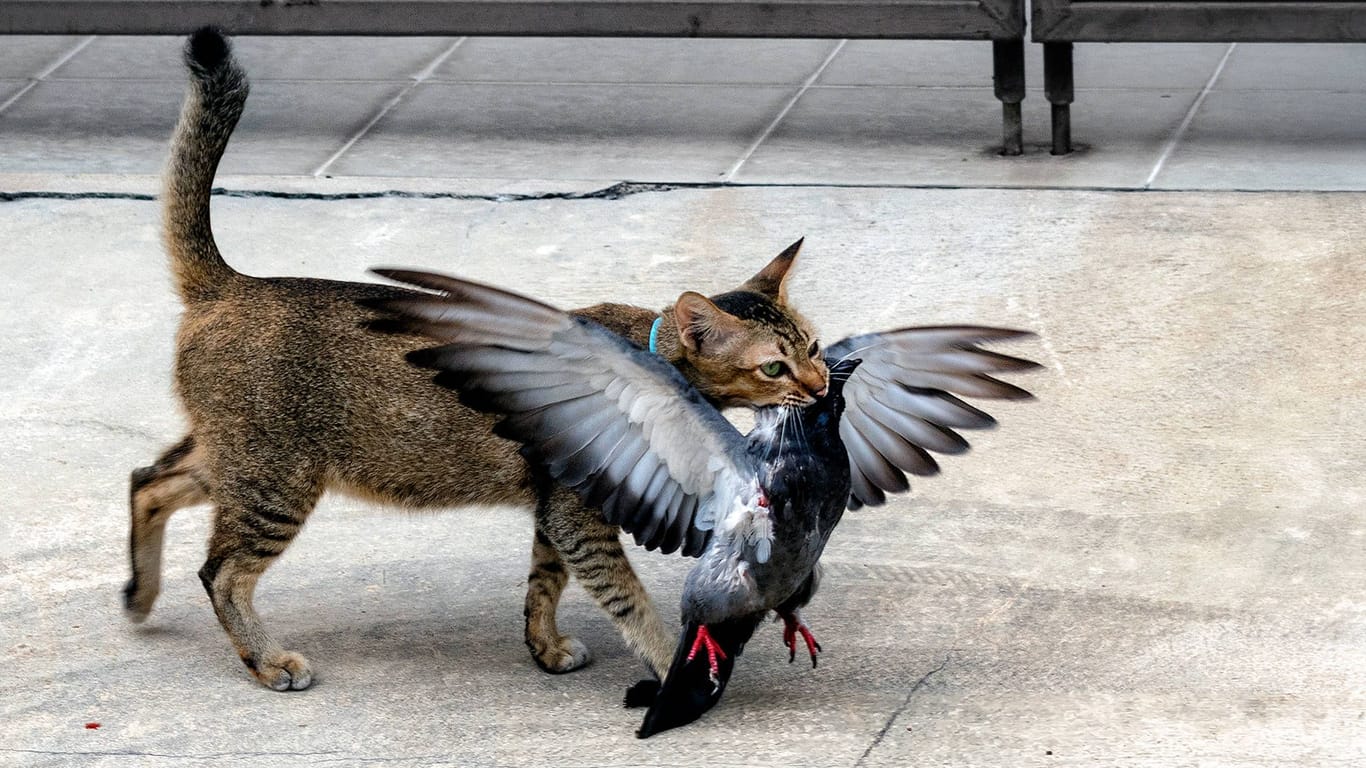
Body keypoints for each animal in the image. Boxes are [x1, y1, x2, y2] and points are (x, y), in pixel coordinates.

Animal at [125, 28, 830, 688]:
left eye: (815, 346)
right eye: (774, 366)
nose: (824, 383)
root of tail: (231, 282)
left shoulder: (556, 512)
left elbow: (544, 583)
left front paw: (544, 646)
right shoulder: (579, 518)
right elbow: (628, 600)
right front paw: (666, 663)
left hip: (235, 461)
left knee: (148, 480)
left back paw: (139, 595)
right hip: (275, 478)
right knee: (220, 571)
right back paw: (266, 659)